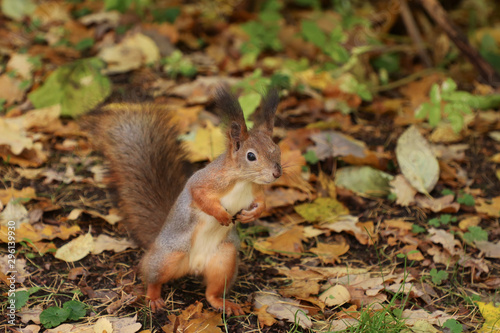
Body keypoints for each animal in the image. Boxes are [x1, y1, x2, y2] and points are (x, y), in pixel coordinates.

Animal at [85, 87, 282, 314]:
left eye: (277, 149)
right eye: (251, 156)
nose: (277, 173)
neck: (243, 181)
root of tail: (194, 266)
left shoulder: (256, 192)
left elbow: (262, 203)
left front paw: (252, 214)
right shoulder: (204, 182)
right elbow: (200, 197)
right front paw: (221, 215)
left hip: (224, 259)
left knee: (211, 291)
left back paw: (223, 303)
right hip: (167, 257)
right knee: (151, 277)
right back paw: (153, 297)